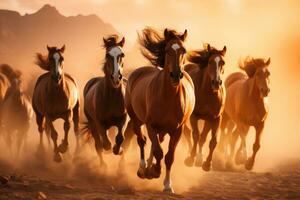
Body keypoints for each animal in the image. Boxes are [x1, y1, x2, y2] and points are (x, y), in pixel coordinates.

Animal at [82, 35, 127, 169]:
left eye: (122, 54)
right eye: (108, 55)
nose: (116, 77)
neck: (111, 96)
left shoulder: (123, 119)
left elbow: (120, 138)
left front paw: (119, 150)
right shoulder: (99, 122)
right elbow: (105, 144)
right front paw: (109, 150)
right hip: (92, 123)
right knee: (98, 144)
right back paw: (103, 166)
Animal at [124, 27, 195, 193]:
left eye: (183, 50)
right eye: (167, 50)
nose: (176, 75)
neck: (167, 98)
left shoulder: (177, 130)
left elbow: (169, 156)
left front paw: (168, 185)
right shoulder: (151, 125)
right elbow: (158, 151)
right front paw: (154, 171)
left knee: (154, 144)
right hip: (136, 120)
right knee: (142, 141)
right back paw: (143, 169)